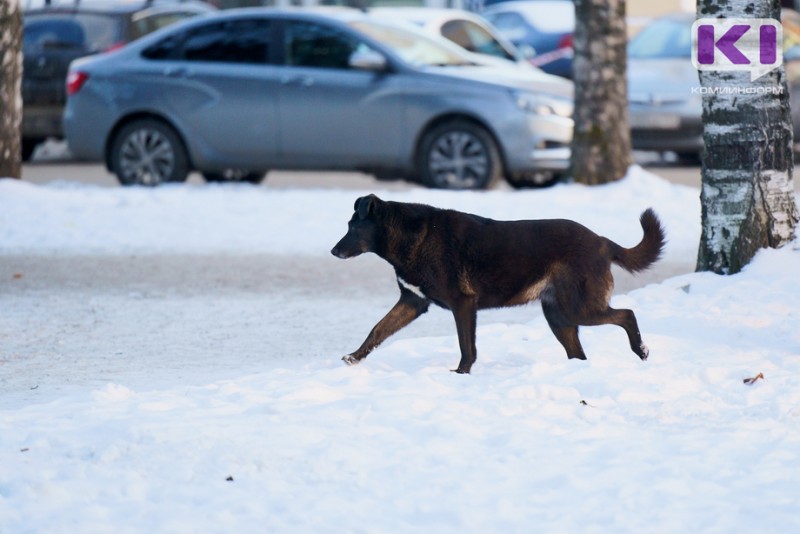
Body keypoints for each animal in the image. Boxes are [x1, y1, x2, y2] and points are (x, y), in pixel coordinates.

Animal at [328, 195, 664, 374]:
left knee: (627, 314)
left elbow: (467, 346)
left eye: (353, 226)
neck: (410, 237)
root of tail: (602, 241)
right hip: (559, 316)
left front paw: (461, 373)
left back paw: (641, 350)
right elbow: (378, 330)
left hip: (578, 308)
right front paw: (355, 357)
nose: (333, 251)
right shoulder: (413, 302)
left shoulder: (463, 304)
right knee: (579, 353)